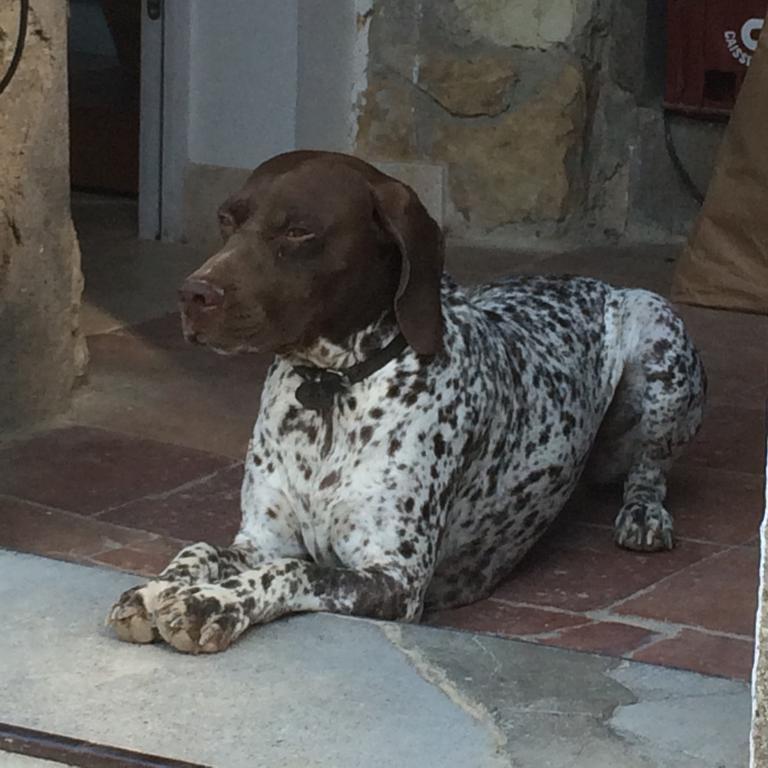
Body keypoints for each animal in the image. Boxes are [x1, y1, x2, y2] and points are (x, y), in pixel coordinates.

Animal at [105, 152, 704, 656]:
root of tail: (592, 281)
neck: (331, 391)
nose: (193, 294)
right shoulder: (262, 539)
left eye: (298, 231)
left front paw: (211, 603)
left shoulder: (395, 577)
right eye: (227, 219)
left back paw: (644, 514)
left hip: (658, 333)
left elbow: (289, 573)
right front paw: (157, 588)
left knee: (651, 468)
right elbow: (201, 550)